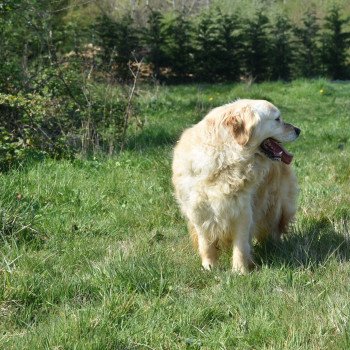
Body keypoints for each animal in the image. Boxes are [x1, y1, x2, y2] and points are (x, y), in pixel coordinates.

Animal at [172, 98, 300, 274]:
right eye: (277, 119)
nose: (298, 130)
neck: (224, 158)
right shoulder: (198, 211)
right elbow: (206, 244)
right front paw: (209, 267)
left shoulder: (242, 211)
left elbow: (240, 245)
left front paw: (240, 270)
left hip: (274, 205)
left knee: (272, 229)